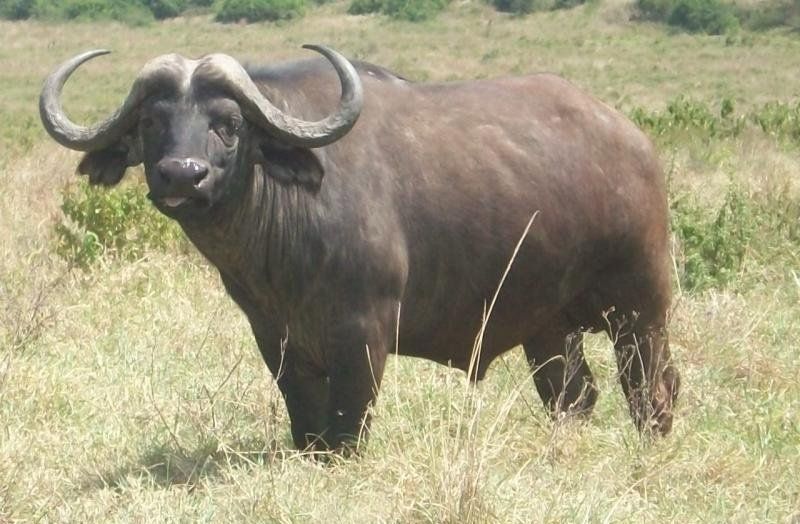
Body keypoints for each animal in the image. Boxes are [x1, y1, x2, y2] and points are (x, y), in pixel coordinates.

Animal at [40, 45, 680, 452]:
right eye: (152, 122)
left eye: (229, 123)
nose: (182, 174)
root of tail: (634, 141)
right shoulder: (275, 337)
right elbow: (307, 421)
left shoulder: (363, 332)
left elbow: (348, 423)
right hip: (547, 327)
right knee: (574, 397)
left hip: (640, 312)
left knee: (653, 389)